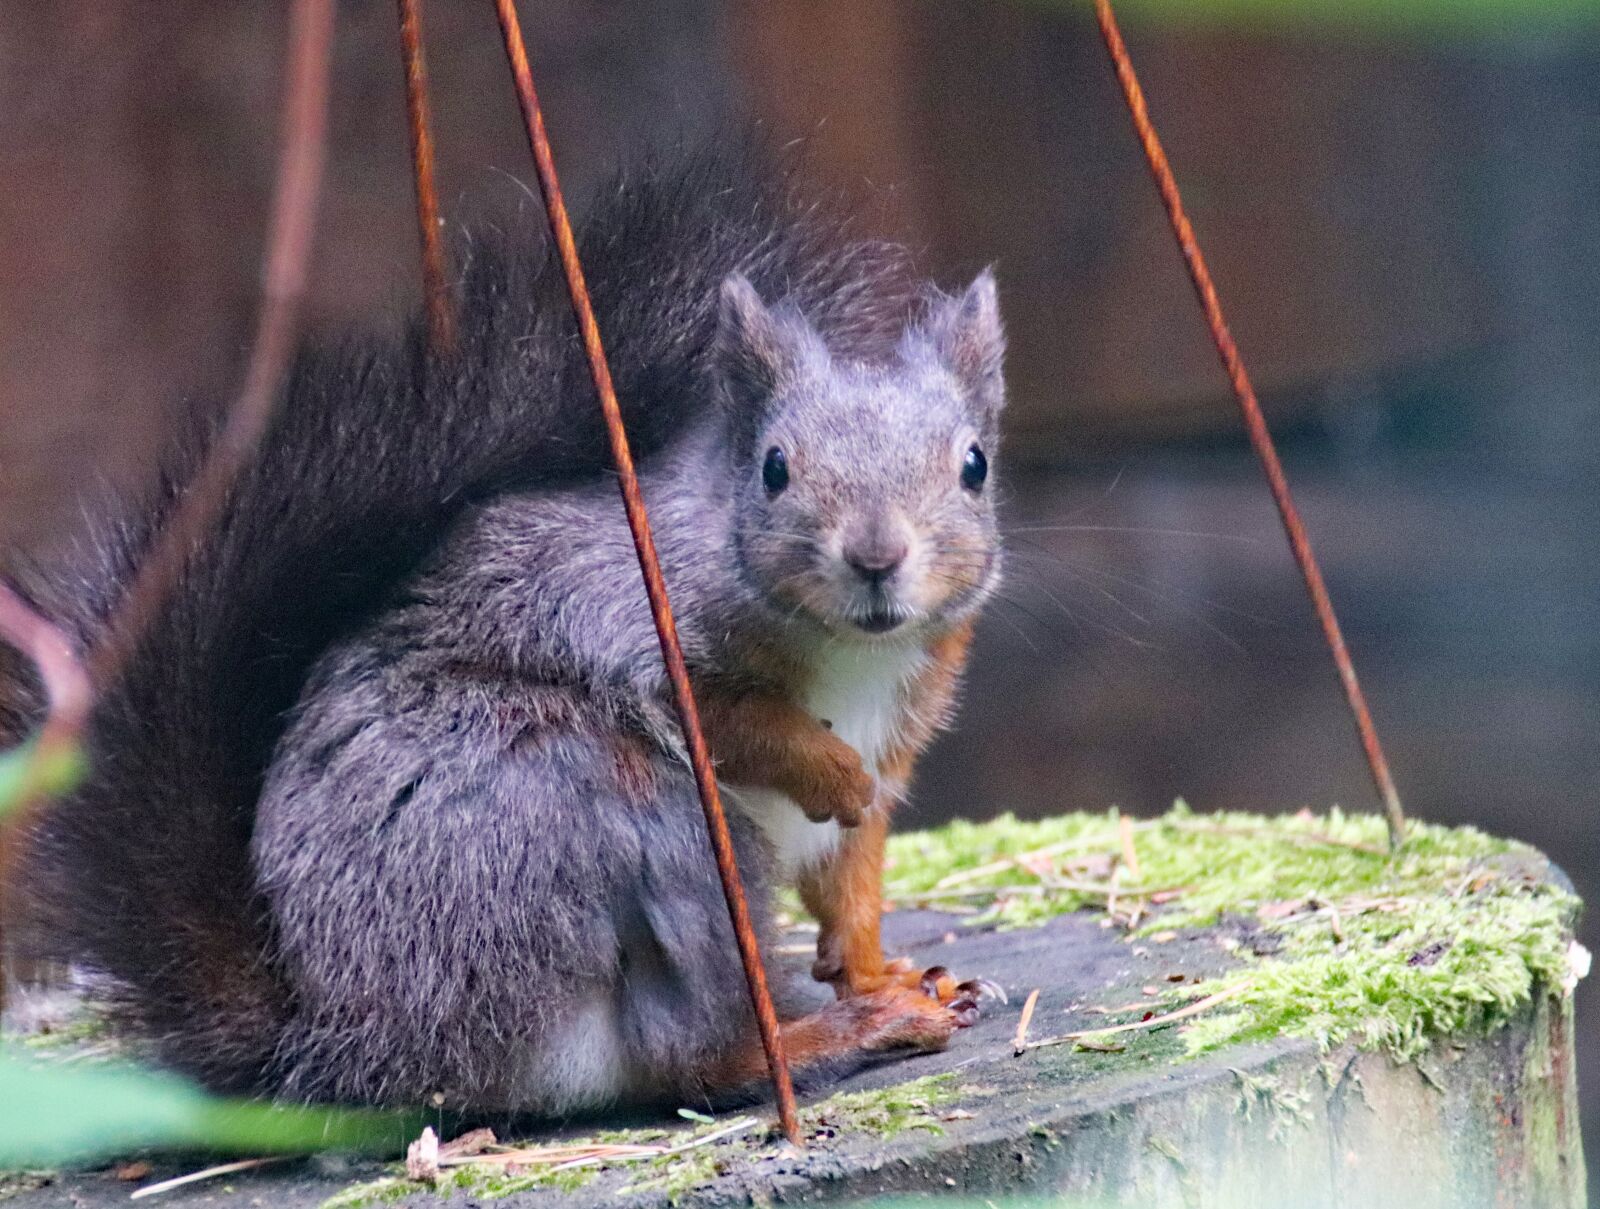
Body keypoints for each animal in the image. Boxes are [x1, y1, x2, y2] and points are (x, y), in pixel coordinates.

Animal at [12, 141, 1004, 1113]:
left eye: (974, 464)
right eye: (774, 468)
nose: (875, 555)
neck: (857, 654)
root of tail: (348, 1041)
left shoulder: (896, 741)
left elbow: (854, 885)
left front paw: (894, 974)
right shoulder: (624, 615)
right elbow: (735, 722)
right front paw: (828, 775)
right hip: (612, 806)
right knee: (695, 1055)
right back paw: (835, 1037)